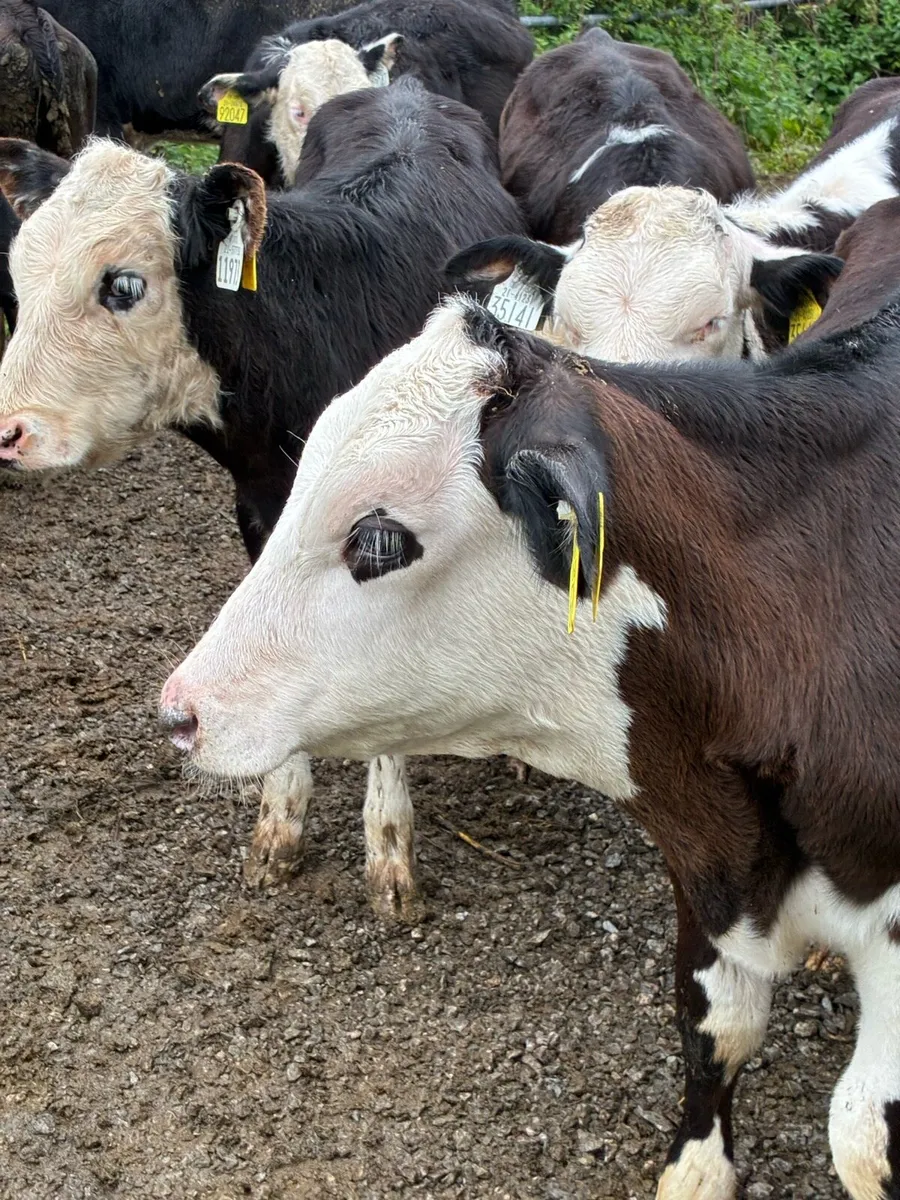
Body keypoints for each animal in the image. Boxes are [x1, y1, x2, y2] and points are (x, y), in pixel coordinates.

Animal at [0, 78, 526, 920]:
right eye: (18, 270)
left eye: (123, 284)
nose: (11, 429)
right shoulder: (259, 513)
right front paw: (279, 820)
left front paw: (389, 852)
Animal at [160, 295, 900, 1200]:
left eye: (378, 540)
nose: (181, 711)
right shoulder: (701, 855)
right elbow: (715, 1028)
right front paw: (696, 1171)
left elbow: (861, 1135)